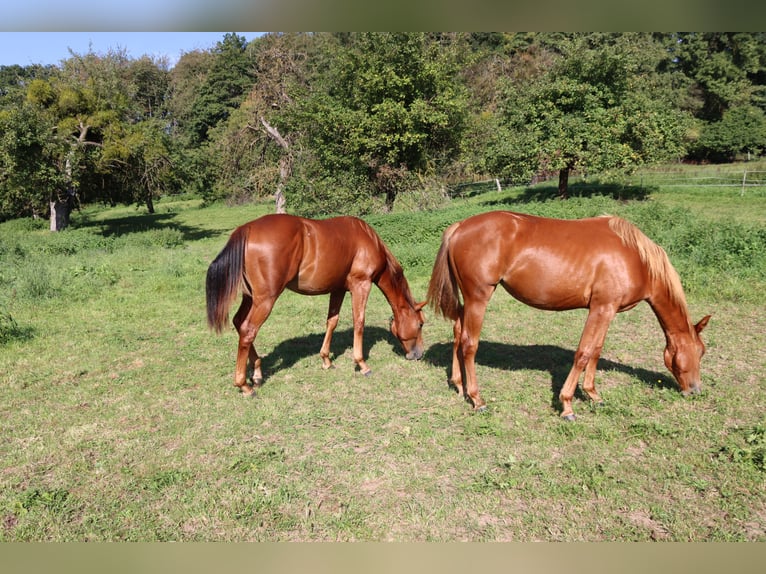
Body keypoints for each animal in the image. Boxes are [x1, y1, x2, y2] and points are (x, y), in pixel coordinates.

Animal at [206, 214, 426, 396]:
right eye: (421, 324)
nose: (418, 354)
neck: (367, 239)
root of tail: (247, 228)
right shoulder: (361, 285)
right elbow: (359, 322)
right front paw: (362, 364)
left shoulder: (338, 289)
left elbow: (332, 321)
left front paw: (326, 360)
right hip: (265, 299)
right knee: (248, 331)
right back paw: (244, 385)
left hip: (250, 297)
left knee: (239, 323)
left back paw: (257, 372)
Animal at [426, 211, 711, 420]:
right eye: (699, 352)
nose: (695, 390)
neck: (635, 258)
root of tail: (460, 226)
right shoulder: (601, 308)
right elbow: (583, 353)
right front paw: (567, 405)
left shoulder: (608, 311)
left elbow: (596, 350)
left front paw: (593, 395)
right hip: (478, 298)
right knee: (469, 344)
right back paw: (477, 399)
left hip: (468, 301)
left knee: (457, 334)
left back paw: (459, 385)